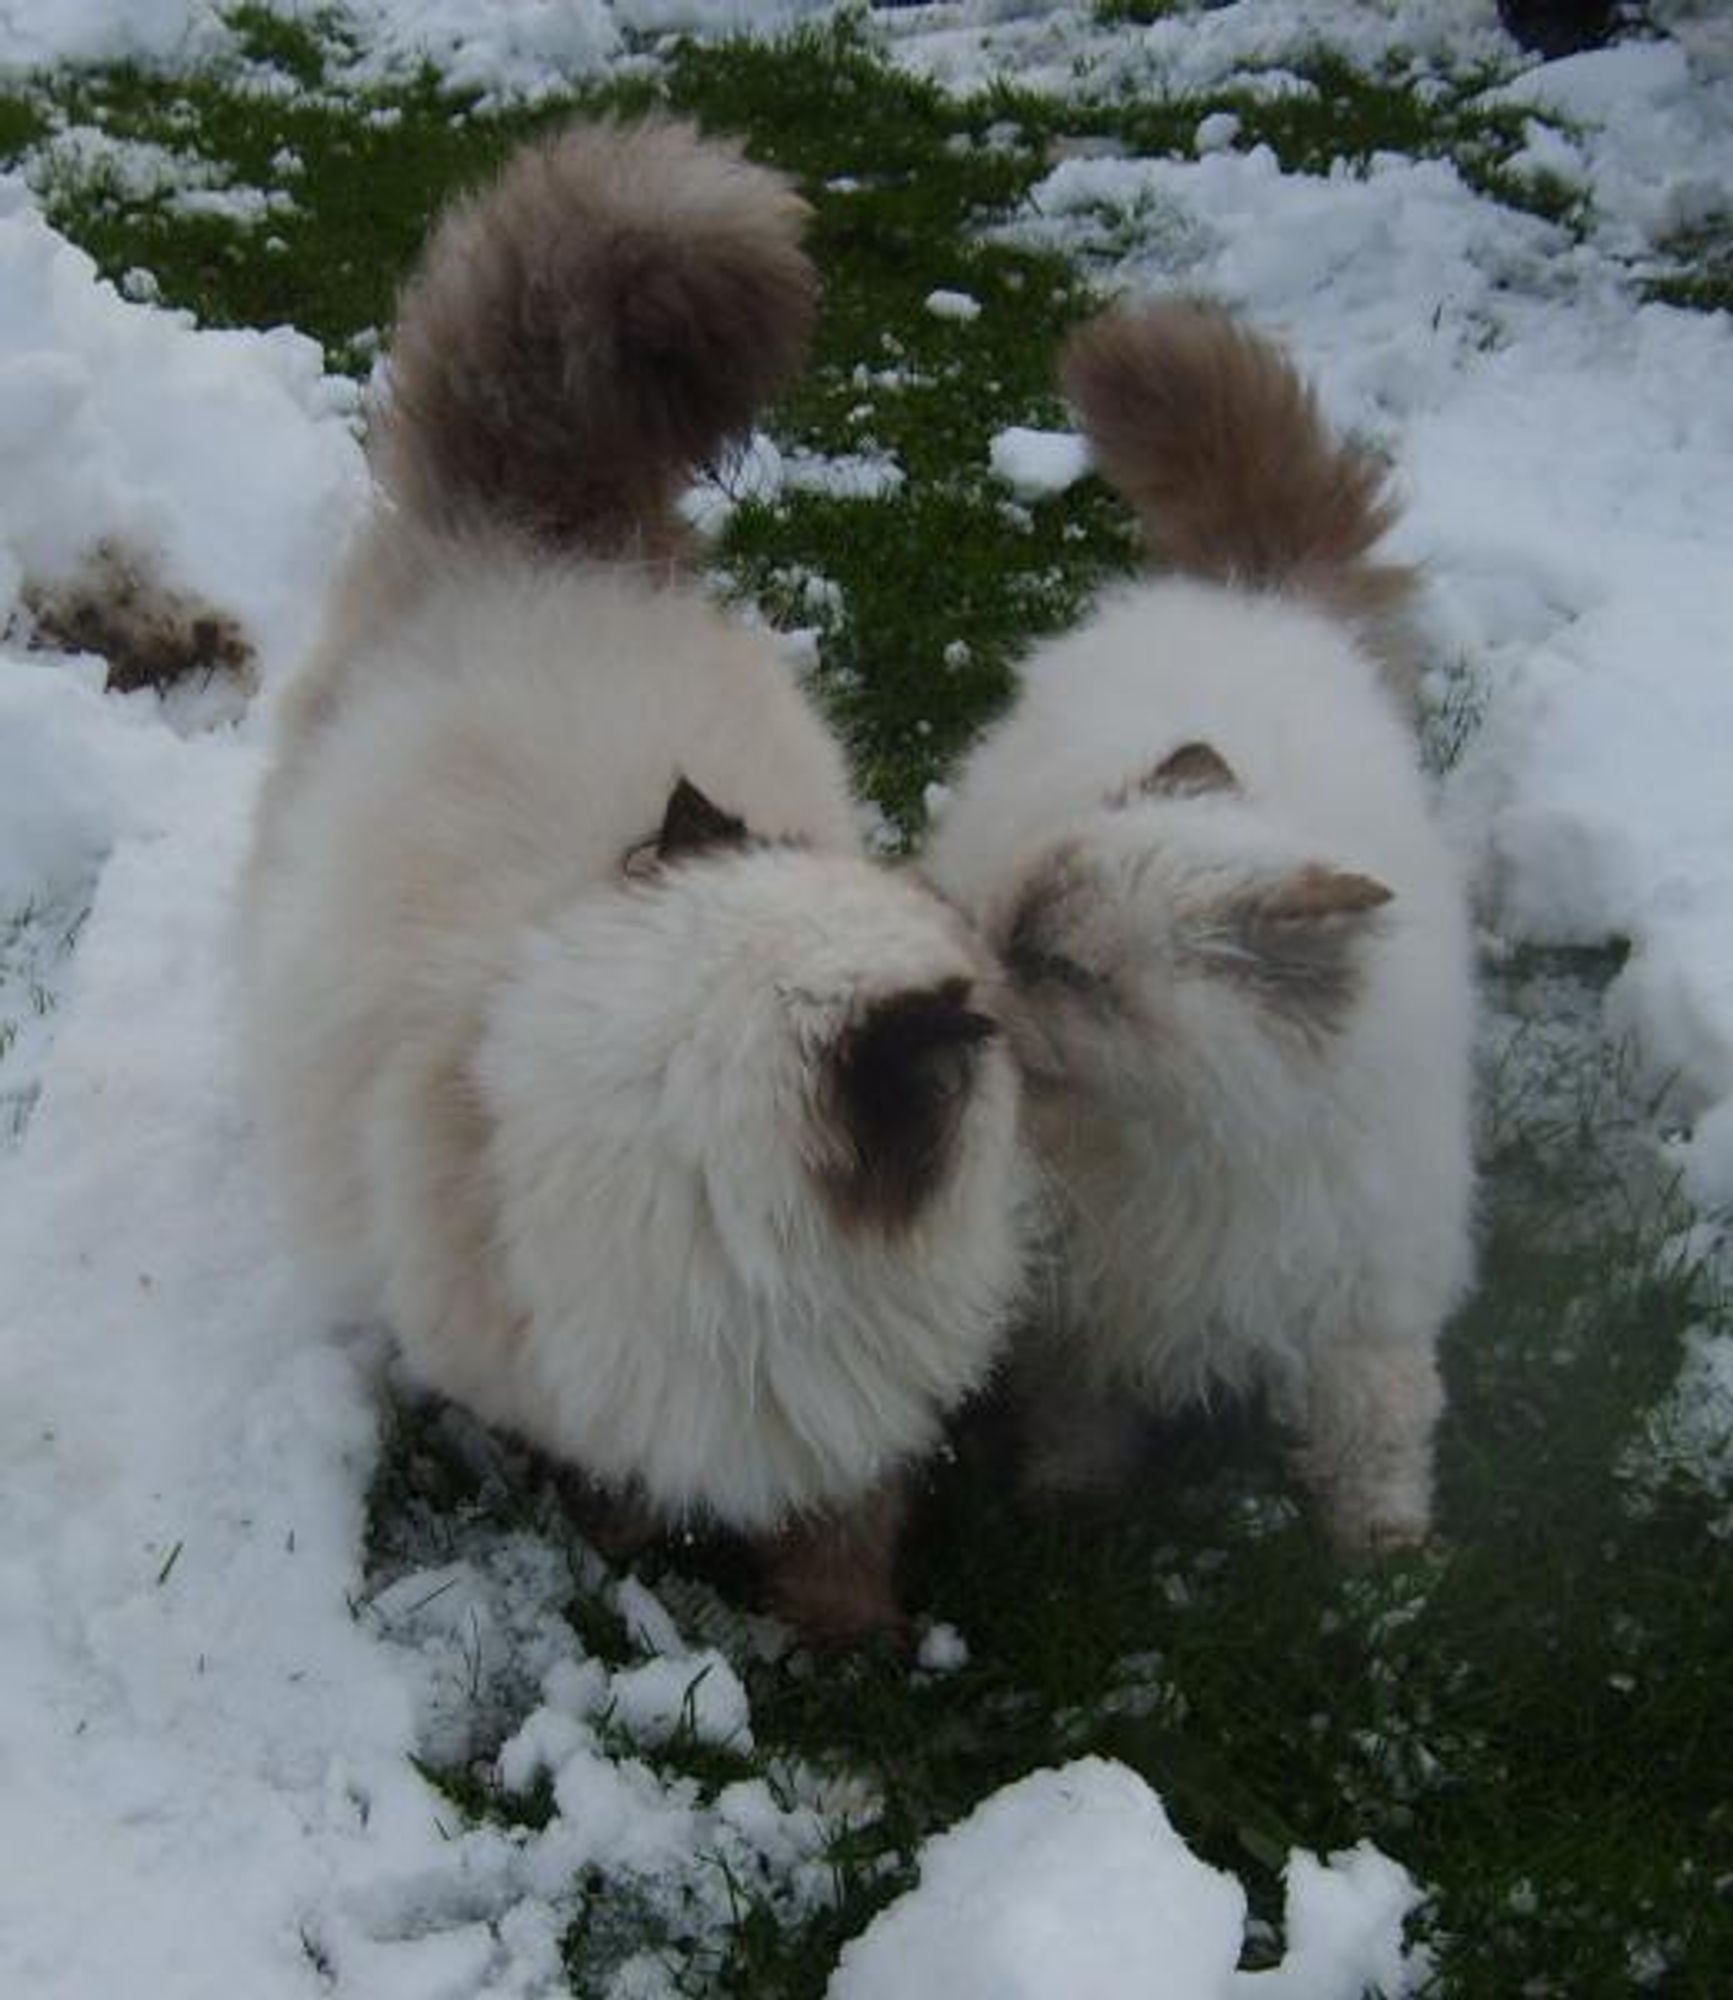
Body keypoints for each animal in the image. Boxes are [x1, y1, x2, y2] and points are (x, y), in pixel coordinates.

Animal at [243, 113, 1024, 1640]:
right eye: (982, 1028)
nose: (1015, 994)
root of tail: (513, 533)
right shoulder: (577, 1393)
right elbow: (621, 1480)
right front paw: (655, 1547)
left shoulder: (852, 1420)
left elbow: (850, 1521)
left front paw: (844, 1629)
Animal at [920, 304, 1472, 1544]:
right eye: (998, 928)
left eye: (1061, 970)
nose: (971, 983)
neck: (1170, 1162)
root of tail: (1251, 596)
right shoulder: (1086, 1305)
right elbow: (1077, 1414)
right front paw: (1071, 1501)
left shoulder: (1362, 1286)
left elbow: (1375, 1418)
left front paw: (1382, 1551)